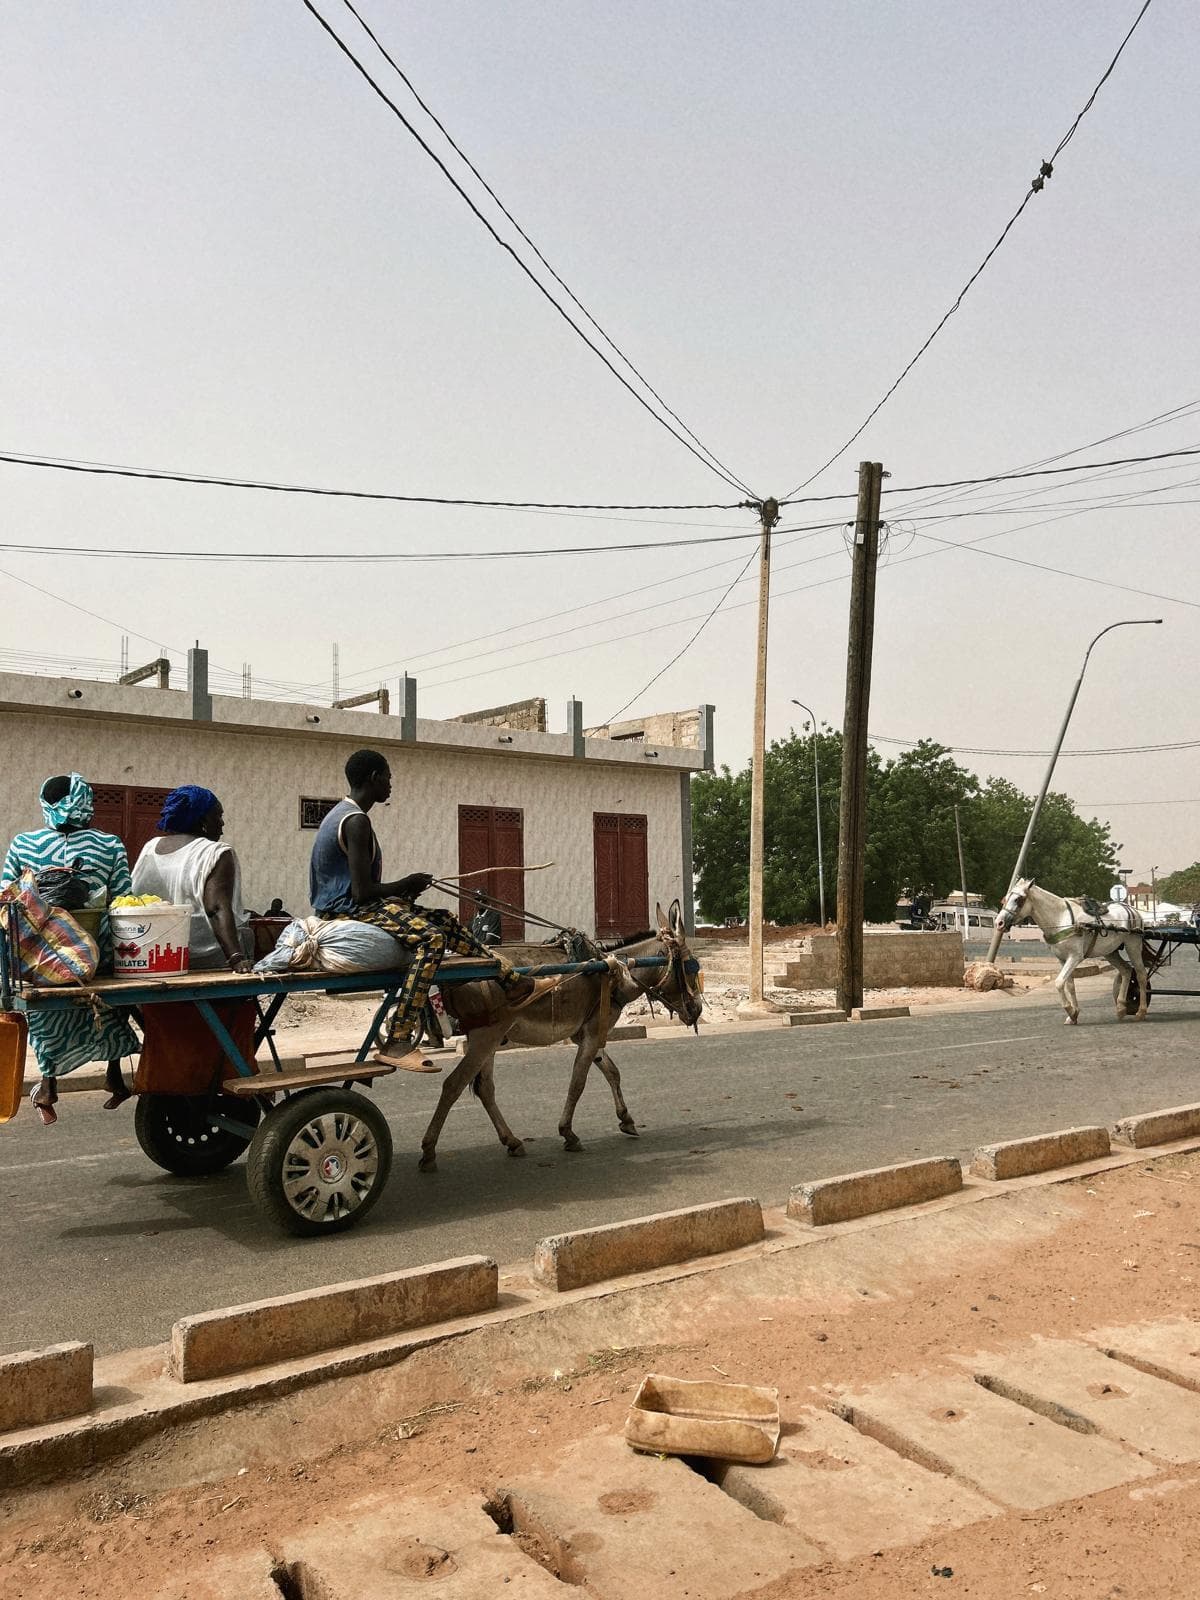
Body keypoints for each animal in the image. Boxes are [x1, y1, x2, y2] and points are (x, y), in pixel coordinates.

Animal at [992, 876, 1152, 1024]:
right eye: (1005, 898)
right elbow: (1069, 985)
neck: (1060, 918)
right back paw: (1121, 1008)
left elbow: (1058, 982)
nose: (999, 923)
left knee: (1141, 974)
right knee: (1126, 970)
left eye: (1018, 899)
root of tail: (1133, 910)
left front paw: (1069, 1009)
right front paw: (1074, 1014)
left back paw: (1141, 1011)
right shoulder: (1062, 959)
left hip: (1133, 945)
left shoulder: (1075, 957)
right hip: (1110, 952)